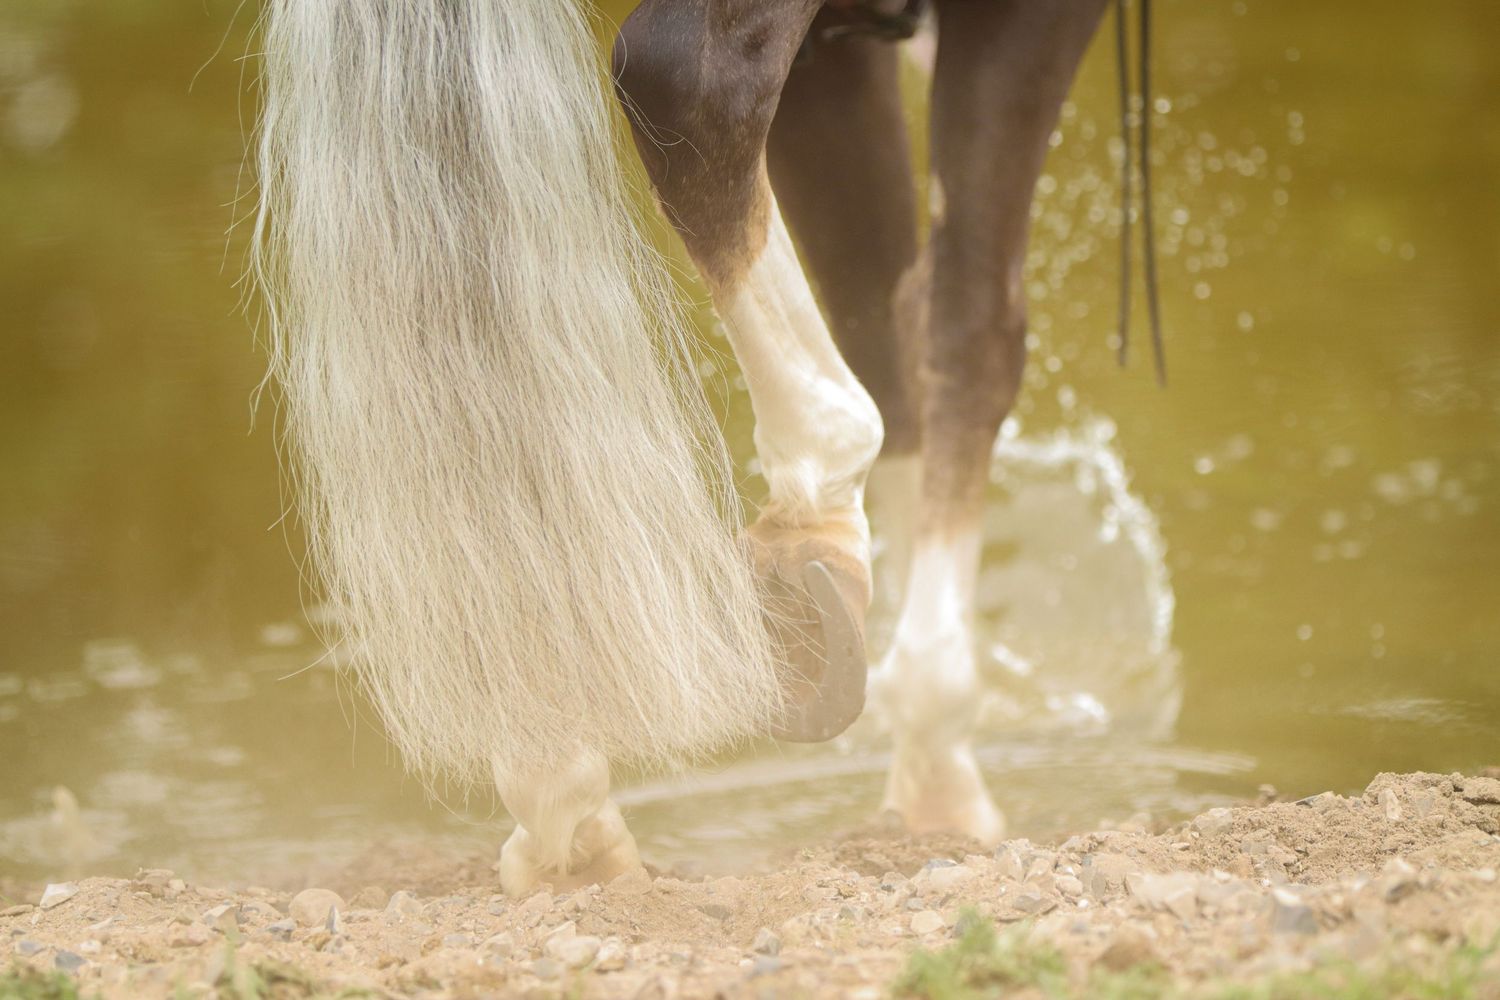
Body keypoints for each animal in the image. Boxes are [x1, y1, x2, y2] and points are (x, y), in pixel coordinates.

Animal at [253, 0, 1148, 896]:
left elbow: (882, 314)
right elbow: (969, 327)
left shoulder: (842, 51)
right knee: (695, 84)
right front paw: (938, 779)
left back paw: (564, 798)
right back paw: (818, 511)